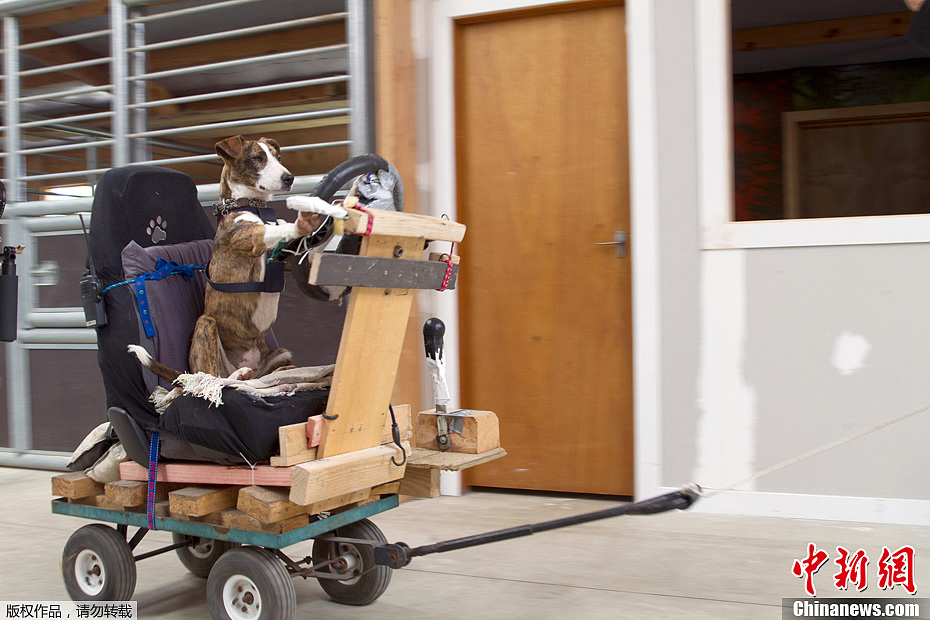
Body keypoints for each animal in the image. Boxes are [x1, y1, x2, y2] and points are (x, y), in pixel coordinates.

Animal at [130, 136, 320, 386]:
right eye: (257, 158)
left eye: (277, 157)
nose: (289, 178)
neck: (251, 205)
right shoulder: (248, 238)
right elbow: (272, 231)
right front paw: (302, 222)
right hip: (206, 325)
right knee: (212, 376)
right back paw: (234, 375)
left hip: (280, 353)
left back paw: (274, 372)